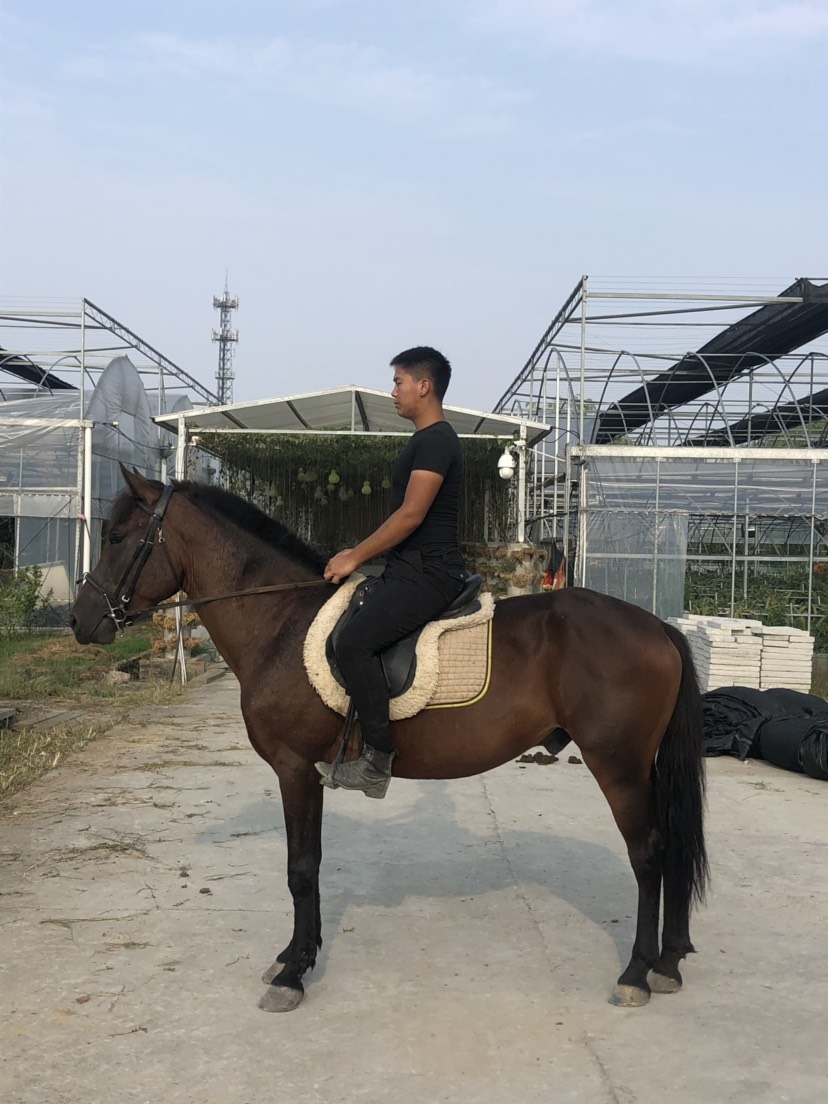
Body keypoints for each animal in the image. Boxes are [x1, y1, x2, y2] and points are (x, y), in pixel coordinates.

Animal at [70, 467, 708, 1013]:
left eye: (119, 536)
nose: (79, 621)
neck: (280, 622)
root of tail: (658, 626)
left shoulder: (294, 768)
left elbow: (301, 867)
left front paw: (292, 975)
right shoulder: (307, 772)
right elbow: (310, 863)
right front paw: (297, 955)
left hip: (618, 765)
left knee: (648, 853)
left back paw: (636, 972)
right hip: (641, 766)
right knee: (672, 843)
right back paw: (669, 963)